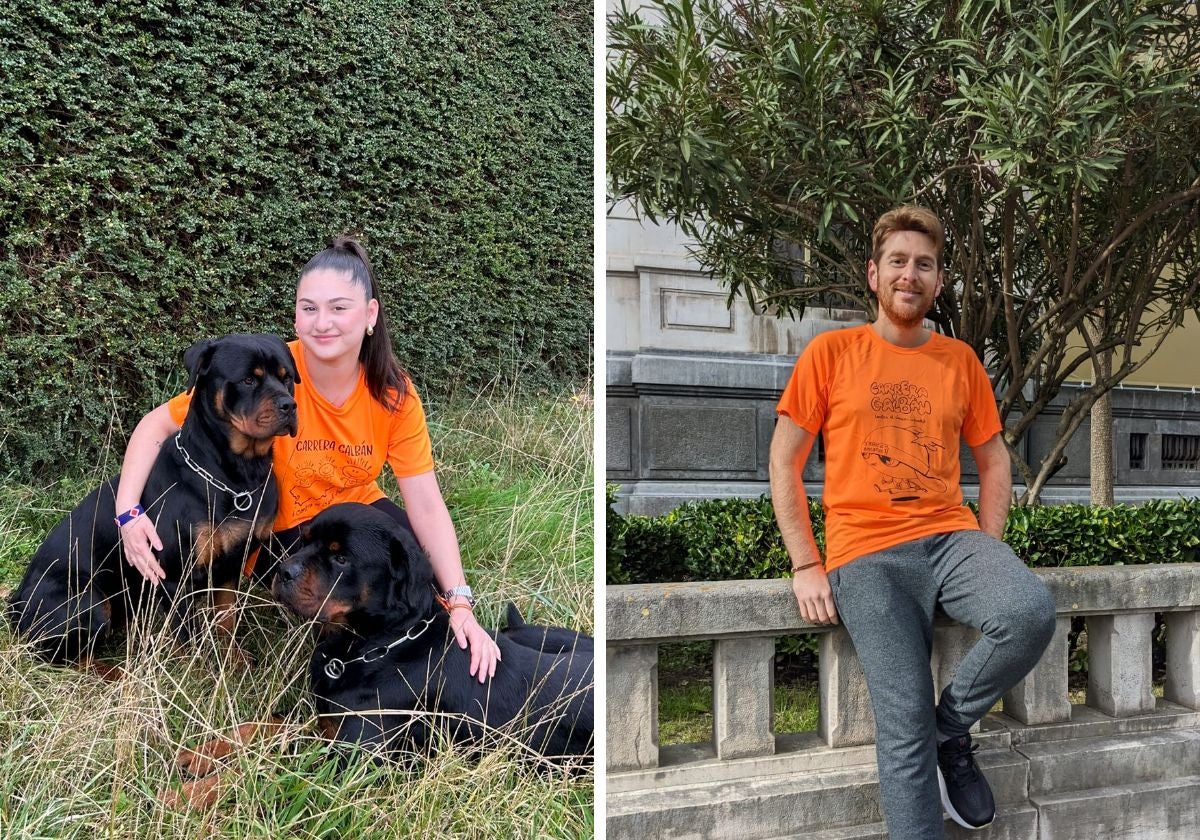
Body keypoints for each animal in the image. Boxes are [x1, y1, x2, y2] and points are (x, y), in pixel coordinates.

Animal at [8, 333, 298, 667]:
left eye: (286, 378)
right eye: (249, 379)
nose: (289, 405)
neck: (237, 476)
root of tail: (16, 603)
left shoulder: (230, 567)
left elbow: (226, 621)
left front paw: (233, 663)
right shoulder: (175, 577)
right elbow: (188, 639)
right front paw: (198, 674)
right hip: (88, 602)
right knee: (74, 659)